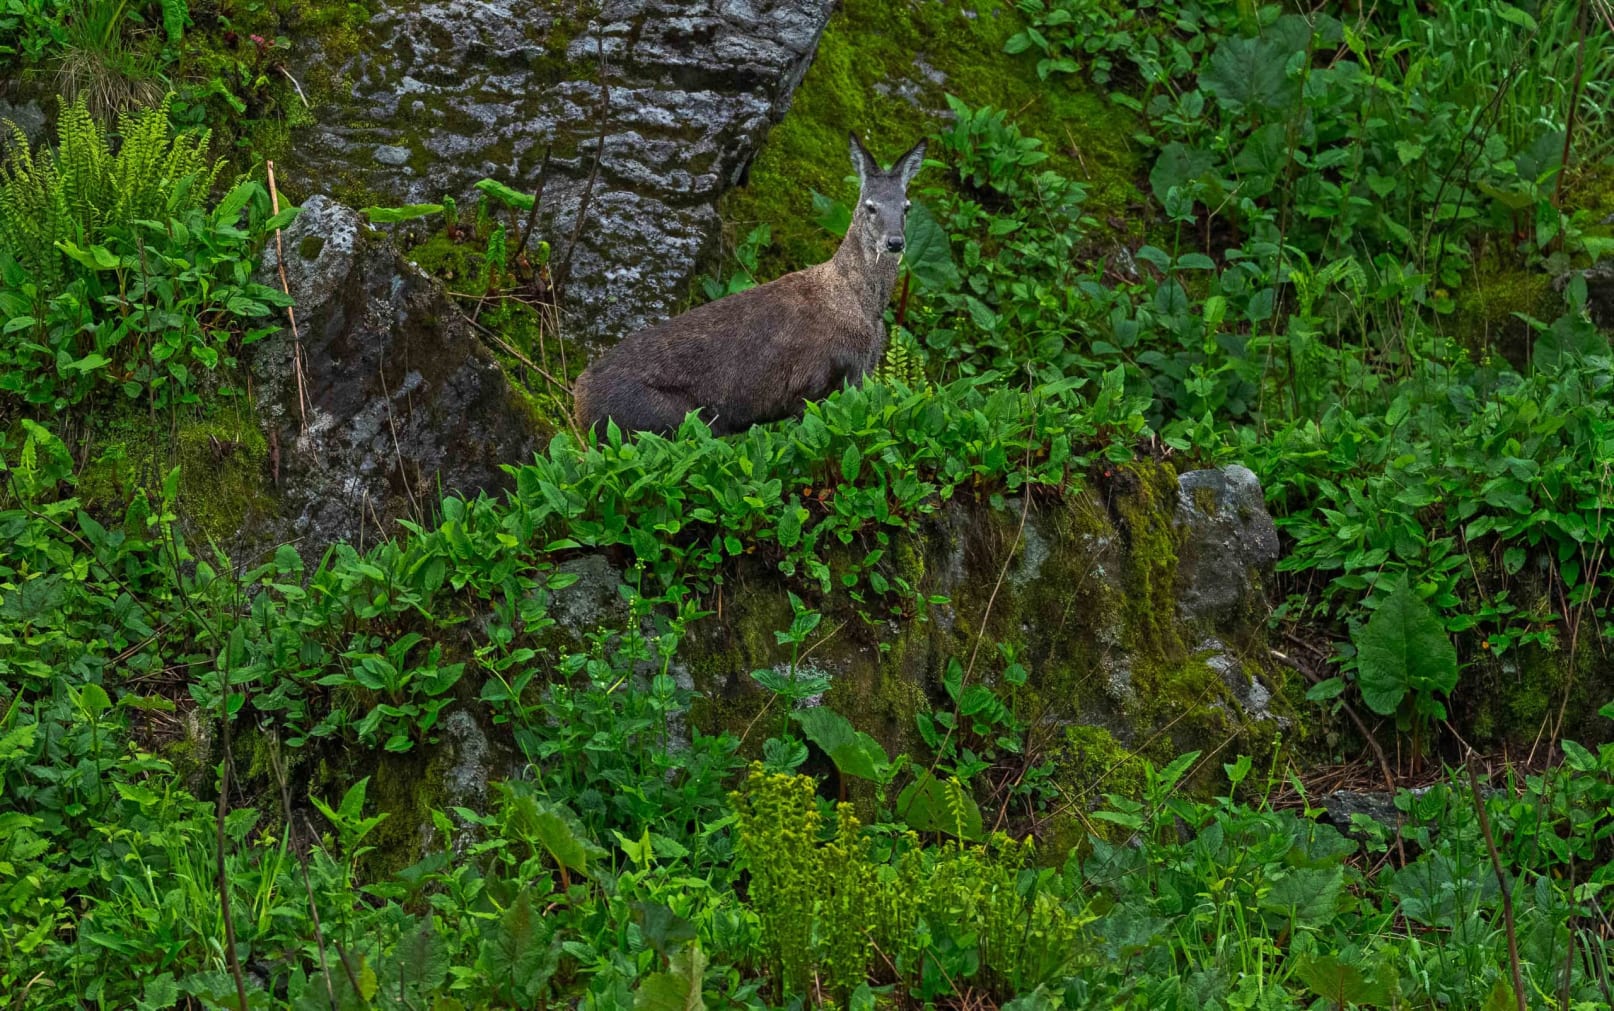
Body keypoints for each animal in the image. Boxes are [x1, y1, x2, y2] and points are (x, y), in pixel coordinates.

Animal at [573, 132, 927, 439]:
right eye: (871, 206)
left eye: (907, 207)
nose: (895, 242)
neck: (862, 305)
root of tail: (579, 402)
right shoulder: (810, 385)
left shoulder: (859, 377)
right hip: (667, 423)